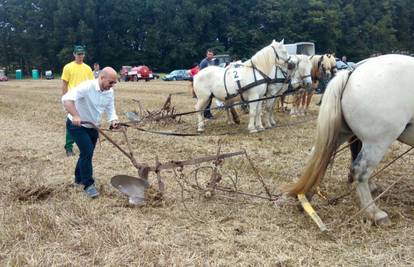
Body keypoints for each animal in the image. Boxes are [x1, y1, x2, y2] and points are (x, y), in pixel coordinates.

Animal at [284, 55, 414, 226]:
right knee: (360, 171)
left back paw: (307, 194)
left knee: (316, 157)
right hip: (378, 141)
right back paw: (375, 213)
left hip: (342, 133)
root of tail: (352, 72)